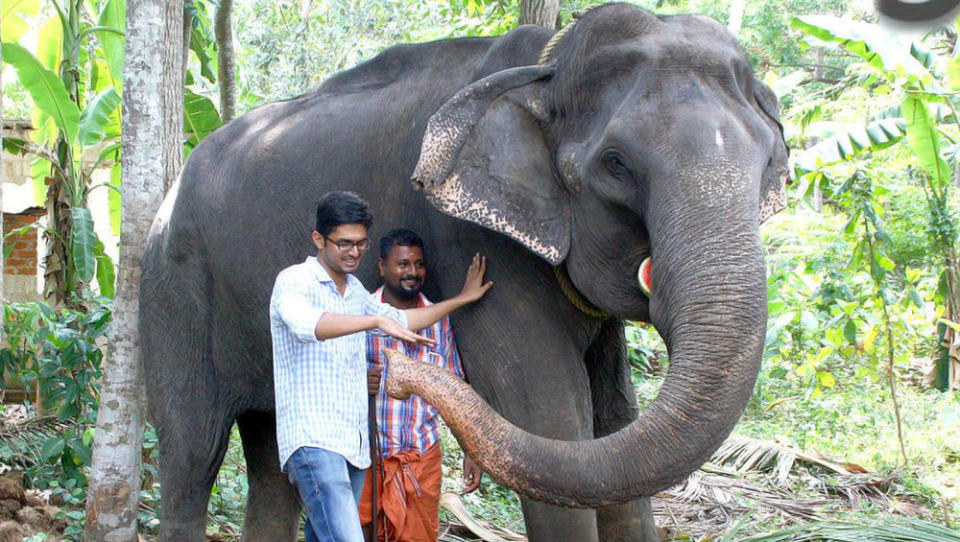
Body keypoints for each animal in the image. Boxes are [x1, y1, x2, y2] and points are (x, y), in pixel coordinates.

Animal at [141, 4, 788, 542]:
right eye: (616, 164)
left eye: (768, 164)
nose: (394, 375)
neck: (547, 64)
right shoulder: (473, 242)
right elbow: (553, 421)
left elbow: (614, 422)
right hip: (173, 286)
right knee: (191, 454)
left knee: (274, 461)